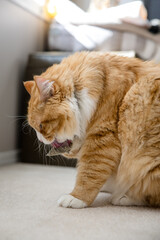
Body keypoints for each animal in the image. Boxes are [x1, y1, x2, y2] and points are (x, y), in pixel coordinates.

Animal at [24, 51, 160, 208]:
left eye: (40, 126)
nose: (40, 139)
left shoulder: (102, 139)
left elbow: (89, 173)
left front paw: (76, 198)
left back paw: (123, 197)